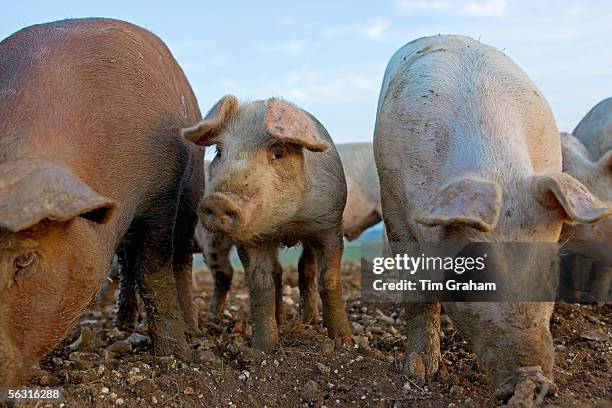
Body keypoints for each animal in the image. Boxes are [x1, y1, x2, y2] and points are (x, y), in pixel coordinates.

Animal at [0, 16, 203, 386]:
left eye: (24, 260)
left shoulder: (163, 192)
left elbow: (154, 272)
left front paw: (176, 356)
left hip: (194, 189)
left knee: (180, 257)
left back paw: (193, 328)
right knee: (125, 263)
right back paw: (121, 325)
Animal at [182, 96, 352, 350]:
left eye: (278, 151)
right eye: (219, 151)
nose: (219, 200)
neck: (285, 224)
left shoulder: (329, 224)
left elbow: (329, 280)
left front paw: (344, 341)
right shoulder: (251, 240)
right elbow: (260, 286)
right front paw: (264, 347)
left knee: (305, 268)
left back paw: (310, 321)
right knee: (278, 272)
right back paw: (281, 320)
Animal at [376, 35, 608, 404]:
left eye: (550, 269)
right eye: (466, 272)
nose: (530, 378)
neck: (496, 168)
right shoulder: (395, 208)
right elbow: (419, 294)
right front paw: (418, 372)